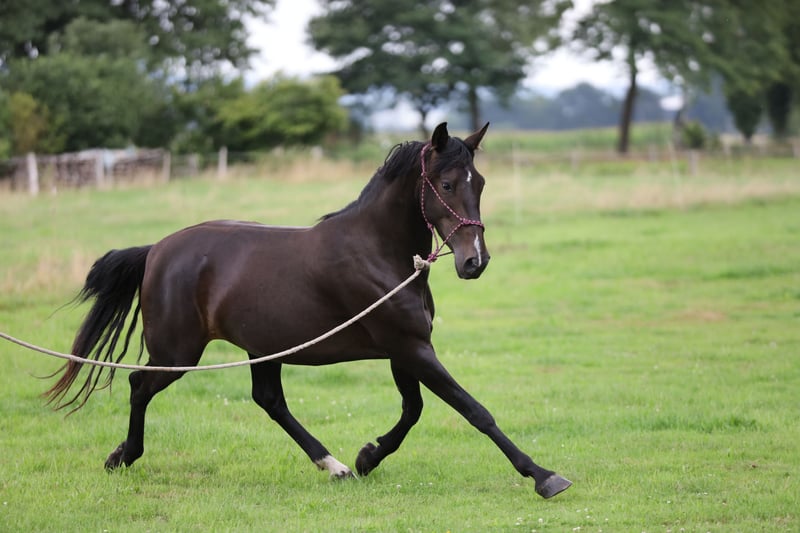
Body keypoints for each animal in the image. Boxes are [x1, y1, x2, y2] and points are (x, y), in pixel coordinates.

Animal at [44, 122, 572, 499]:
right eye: (444, 183)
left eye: (478, 182)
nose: (474, 262)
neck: (377, 252)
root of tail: (157, 250)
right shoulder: (411, 347)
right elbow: (473, 410)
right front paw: (543, 475)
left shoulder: (406, 350)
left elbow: (414, 409)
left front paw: (366, 457)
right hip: (179, 352)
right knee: (139, 385)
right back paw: (123, 456)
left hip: (262, 349)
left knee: (269, 401)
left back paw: (334, 466)